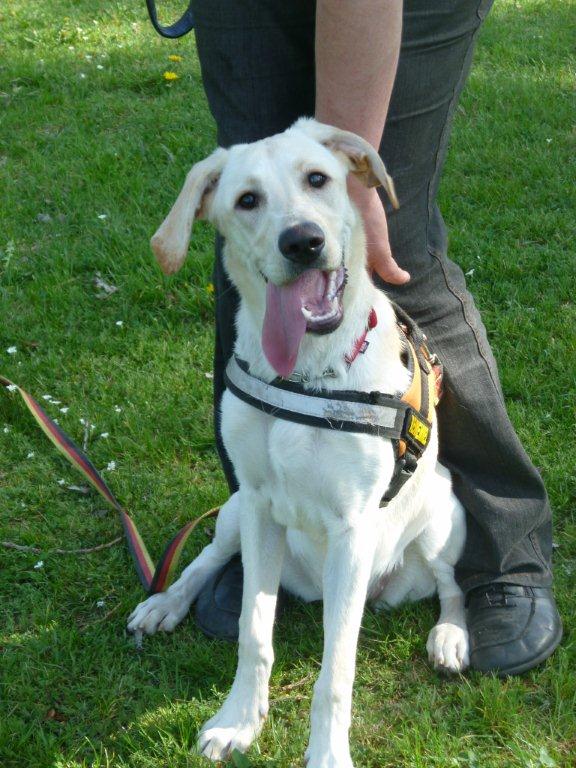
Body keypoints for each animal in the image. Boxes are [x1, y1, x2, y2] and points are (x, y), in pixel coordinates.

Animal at [128, 119, 469, 768]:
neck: (305, 372)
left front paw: (328, 754)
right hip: (233, 512)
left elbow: (335, 672)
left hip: (443, 515)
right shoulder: (260, 505)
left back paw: (451, 636)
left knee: (451, 585)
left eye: (318, 179)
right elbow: (252, 632)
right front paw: (238, 720)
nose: (303, 242)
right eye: (246, 200)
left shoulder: (353, 528)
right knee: (207, 560)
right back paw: (165, 603)